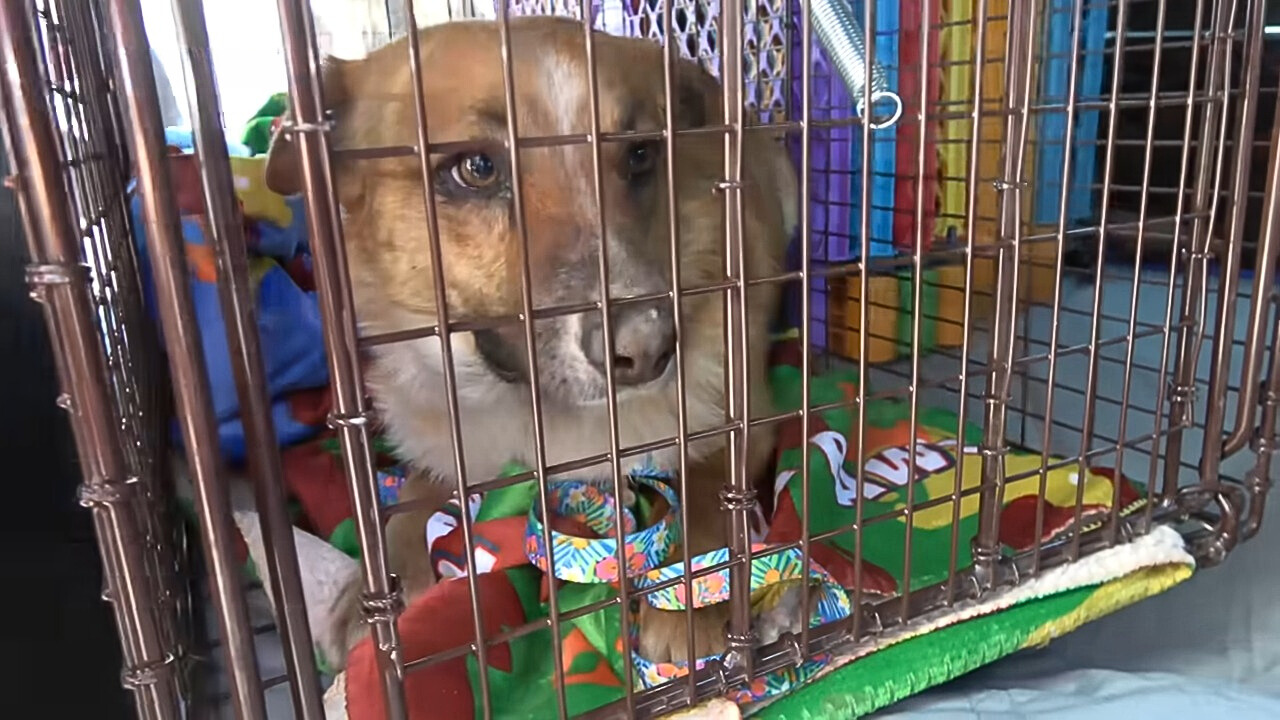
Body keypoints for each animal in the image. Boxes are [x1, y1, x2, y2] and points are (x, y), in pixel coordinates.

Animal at [264, 16, 793, 666]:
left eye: (641, 153)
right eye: (477, 168)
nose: (650, 349)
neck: (536, 414)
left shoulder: (747, 416)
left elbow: (712, 488)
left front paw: (688, 597)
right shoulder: (452, 441)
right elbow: (409, 498)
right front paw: (380, 594)